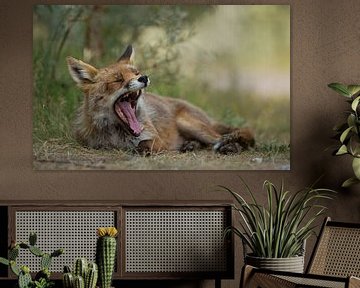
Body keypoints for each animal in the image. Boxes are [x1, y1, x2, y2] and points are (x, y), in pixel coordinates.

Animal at [67, 45, 253, 154]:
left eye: (136, 72)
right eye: (118, 80)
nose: (143, 77)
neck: (118, 135)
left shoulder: (158, 139)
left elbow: (143, 144)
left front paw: (140, 149)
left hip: (191, 125)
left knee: (232, 138)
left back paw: (232, 146)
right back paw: (191, 145)